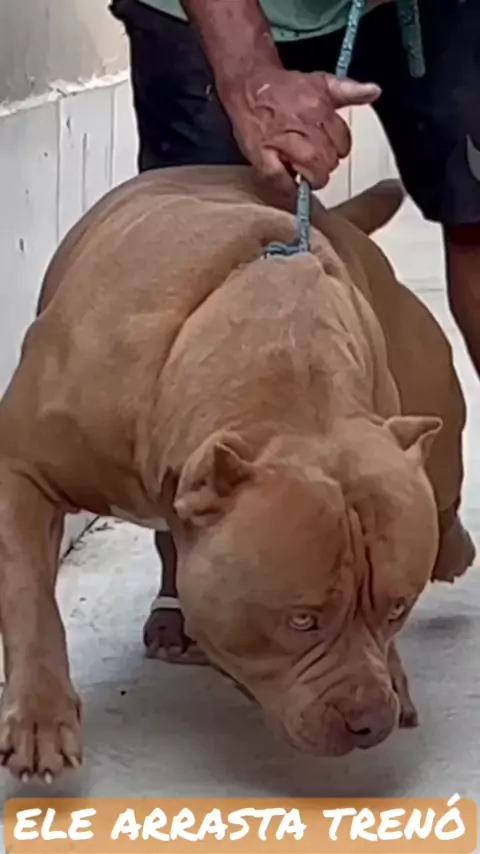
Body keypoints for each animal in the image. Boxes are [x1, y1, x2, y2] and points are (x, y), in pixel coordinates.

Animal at [0, 166, 474, 780]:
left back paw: (454, 547)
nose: (371, 720)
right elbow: (28, 593)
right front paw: (40, 717)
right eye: (301, 620)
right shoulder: (22, 468)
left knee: (442, 484)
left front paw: (392, 668)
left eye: (397, 609)